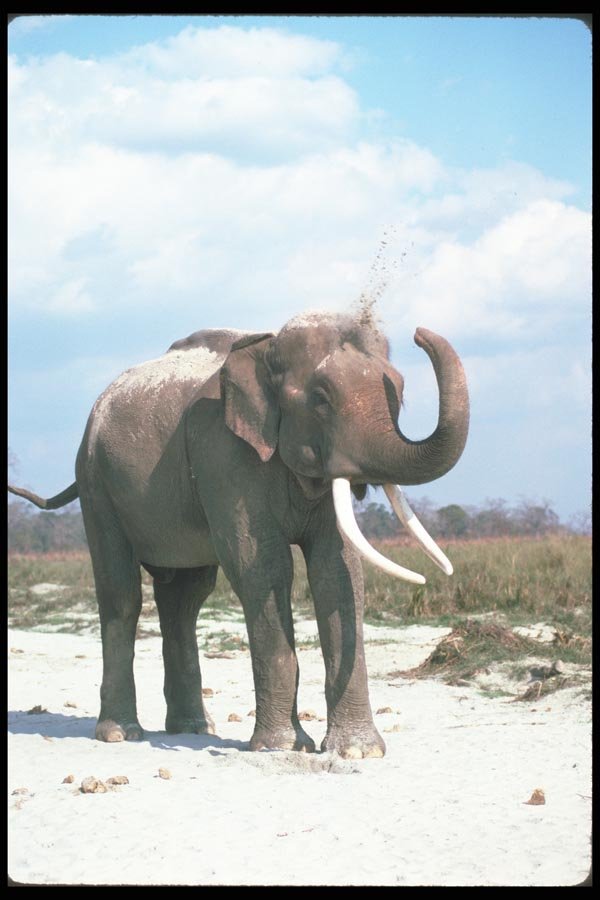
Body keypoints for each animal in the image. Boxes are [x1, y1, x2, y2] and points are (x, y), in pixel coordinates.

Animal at [9, 310, 469, 758]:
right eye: (321, 399)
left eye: (400, 394)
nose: (420, 333)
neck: (266, 349)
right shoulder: (224, 453)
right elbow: (263, 567)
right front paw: (282, 747)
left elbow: (337, 570)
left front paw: (358, 752)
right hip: (96, 483)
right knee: (122, 594)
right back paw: (122, 734)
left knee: (184, 599)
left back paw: (194, 728)